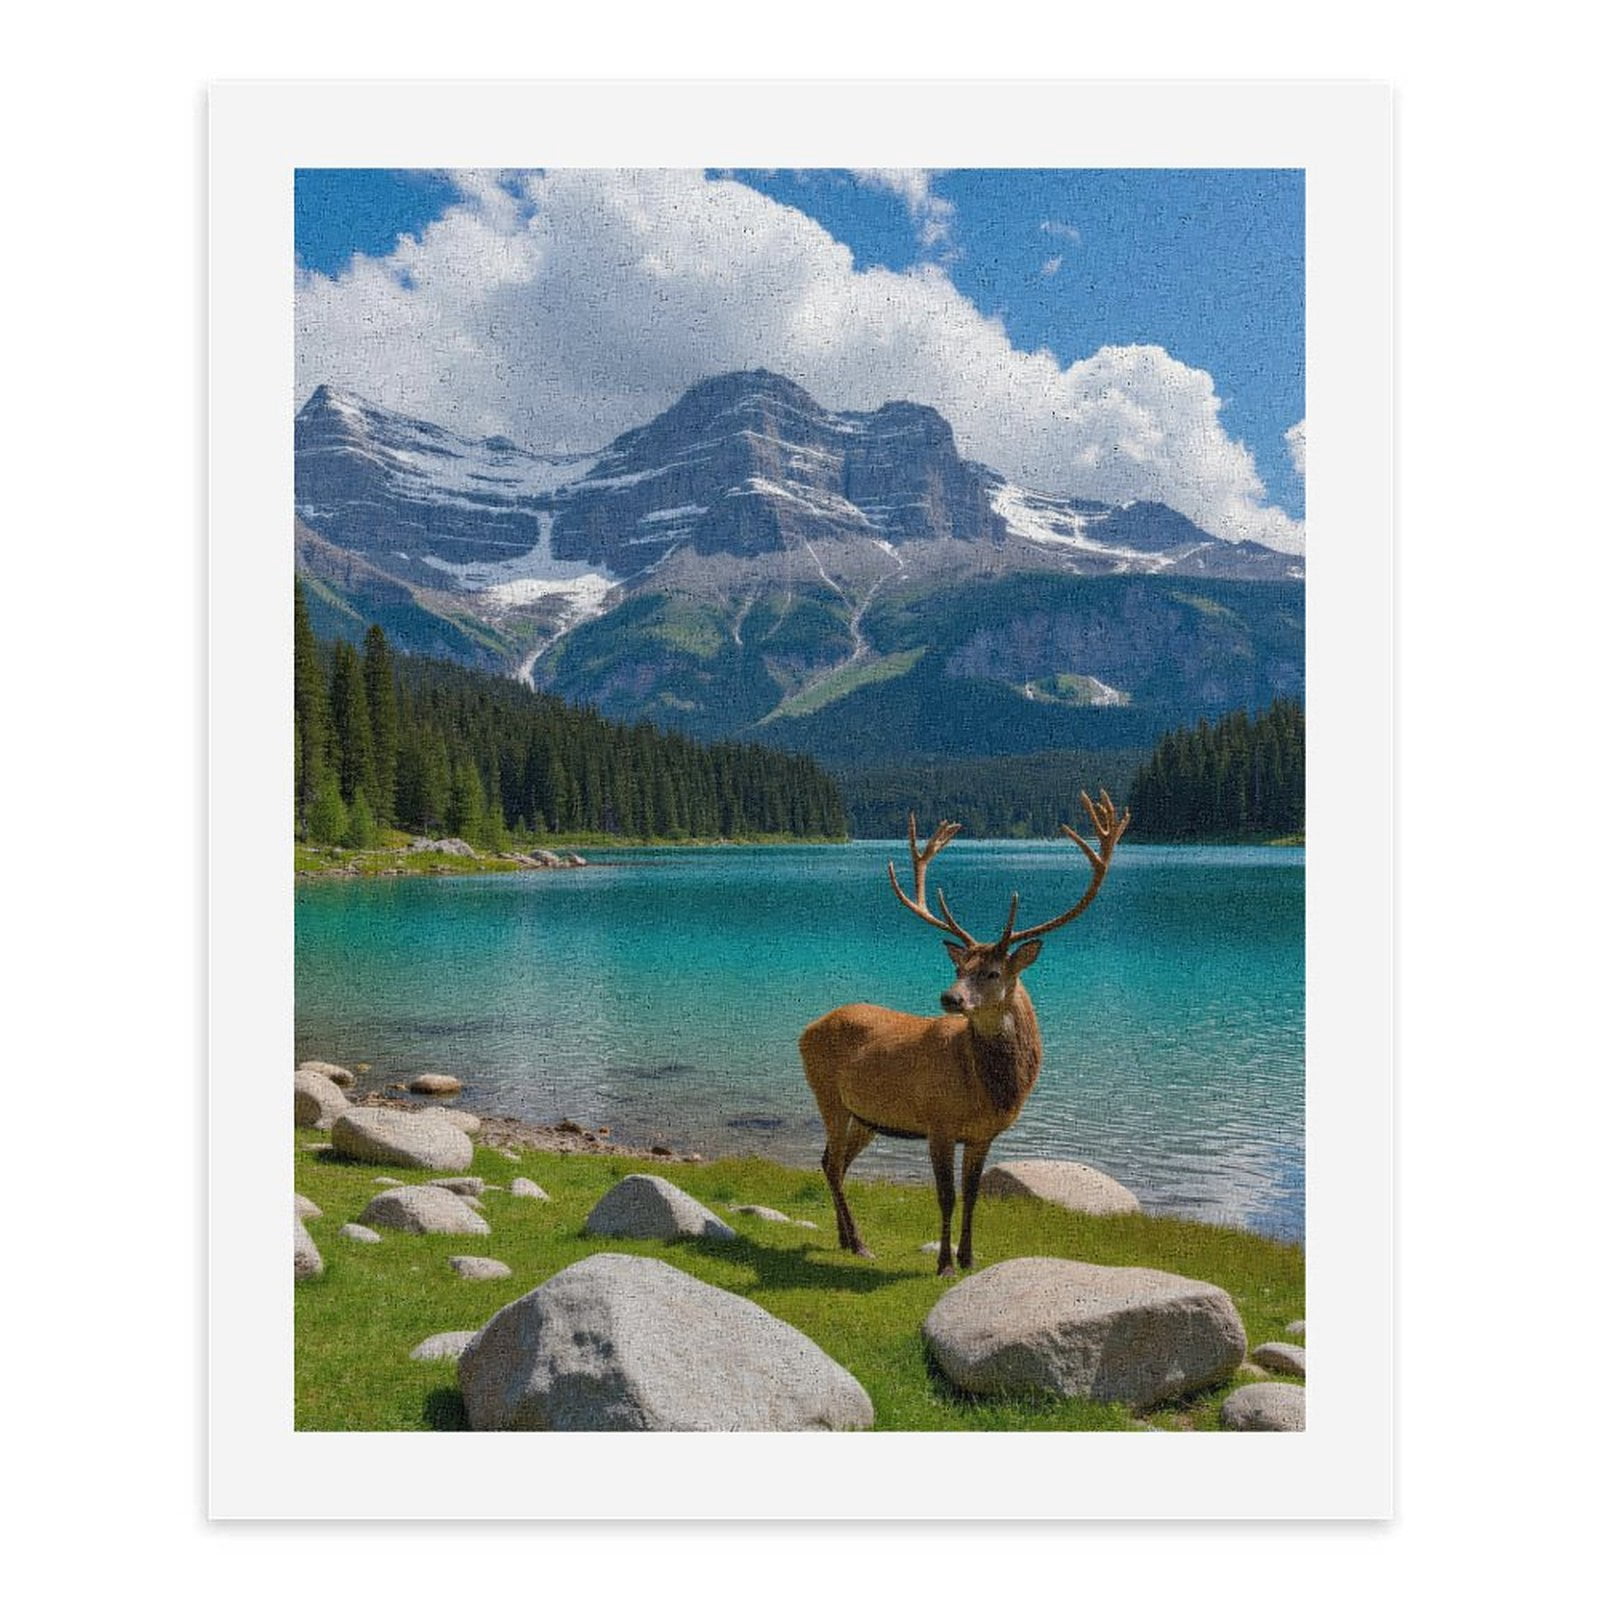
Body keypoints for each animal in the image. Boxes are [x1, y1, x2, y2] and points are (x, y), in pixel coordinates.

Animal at [799, 791, 1130, 1276]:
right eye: (959, 969)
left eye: (992, 972)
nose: (949, 997)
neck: (988, 1089)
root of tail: (806, 1029)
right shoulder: (938, 1121)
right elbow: (946, 1195)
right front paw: (944, 1265)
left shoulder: (983, 1134)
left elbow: (973, 1195)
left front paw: (969, 1257)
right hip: (828, 1096)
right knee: (831, 1161)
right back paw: (858, 1243)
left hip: (866, 1116)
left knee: (832, 1163)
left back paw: (845, 1238)